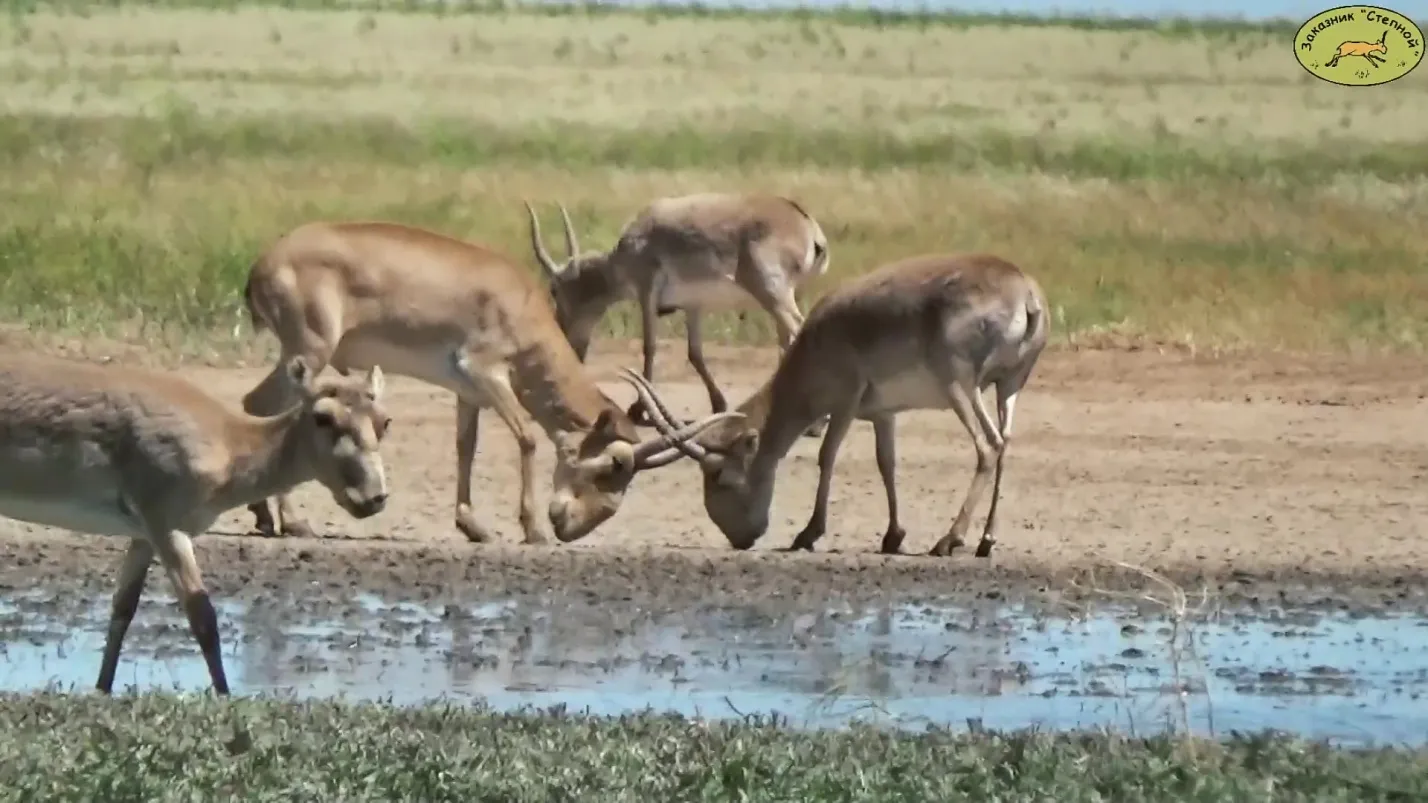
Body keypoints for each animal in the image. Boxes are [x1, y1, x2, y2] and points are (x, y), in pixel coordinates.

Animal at [0, 350, 391, 694]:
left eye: (384, 421)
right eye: (323, 417)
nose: (373, 497)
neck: (232, 446)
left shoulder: (143, 534)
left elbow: (123, 609)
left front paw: (102, 688)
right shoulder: (168, 526)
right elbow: (203, 618)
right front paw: (225, 694)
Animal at [238, 220, 742, 542]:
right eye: (612, 466)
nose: (570, 529)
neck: (517, 301)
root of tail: (261, 265)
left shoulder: (467, 392)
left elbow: (467, 445)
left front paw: (474, 526)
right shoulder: (487, 374)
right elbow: (527, 439)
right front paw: (532, 529)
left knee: (252, 406)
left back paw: (264, 516)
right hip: (307, 354)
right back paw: (292, 522)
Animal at [528, 190, 833, 428]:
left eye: (554, 290)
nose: (568, 343)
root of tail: (806, 224)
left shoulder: (646, 291)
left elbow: (649, 346)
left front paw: (639, 409)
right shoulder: (693, 307)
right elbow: (694, 353)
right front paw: (719, 404)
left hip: (772, 294)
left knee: (796, 330)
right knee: (786, 340)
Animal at [625, 252, 1051, 560]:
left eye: (722, 476)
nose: (741, 538)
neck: (818, 338)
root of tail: (1025, 292)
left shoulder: (846, 399)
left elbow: (827, 455)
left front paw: (808, 533)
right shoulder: (883, 413)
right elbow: (886, 462)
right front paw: (893, 536)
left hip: (959, 385)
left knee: (988, 445)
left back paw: (949, 540)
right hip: (1008, 386)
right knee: (1005, 443)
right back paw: (985, 541)